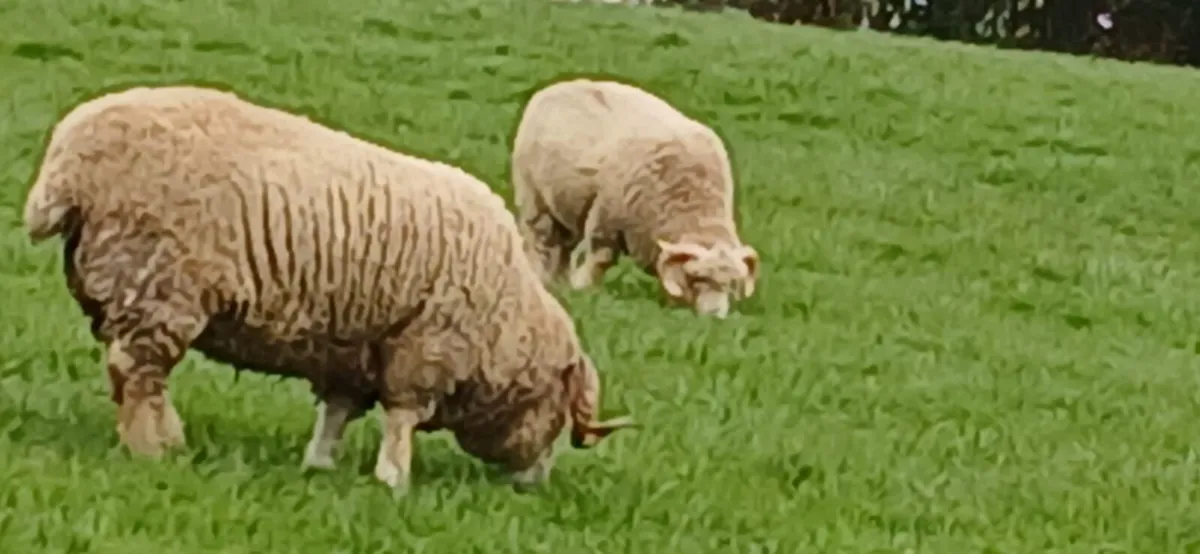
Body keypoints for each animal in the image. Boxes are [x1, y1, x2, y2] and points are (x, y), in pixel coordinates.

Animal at [23, 85, 637, 493]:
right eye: (560, 417)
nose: (534, 486)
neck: (508, 322)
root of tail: (66, 164)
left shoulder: (353, 352)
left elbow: (337, 414)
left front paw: (319, 465)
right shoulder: (425, 350)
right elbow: (402, 418)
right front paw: (394, 480)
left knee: (134, 376)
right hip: (156, 286)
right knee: (137, 376)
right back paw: (155, 449)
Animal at [510, 78, 759, 319]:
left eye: (731, 285)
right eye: (697, 279)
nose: (715, 317)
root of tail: (556, 87)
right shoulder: (605, 221)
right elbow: (600, 258)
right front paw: (583, 289)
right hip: (534, 199)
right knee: (541, 243)